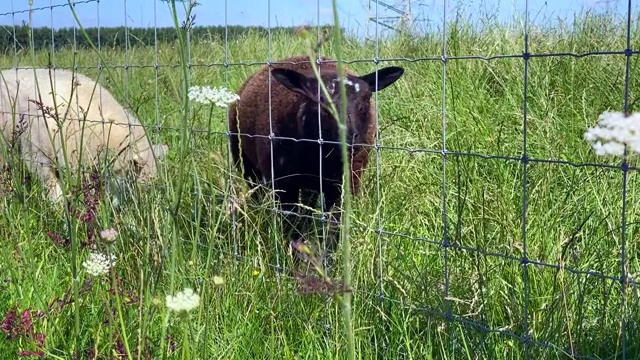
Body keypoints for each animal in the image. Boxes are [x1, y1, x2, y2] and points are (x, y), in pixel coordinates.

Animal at [228, 54, 402, 256]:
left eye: (365, 101)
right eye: (319, 103)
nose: (347, 138)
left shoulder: (343, 185)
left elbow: (332, 228)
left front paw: (328, 260)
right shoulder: (284, 184)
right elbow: (292, 227)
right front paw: (295, 259)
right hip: (245, 163)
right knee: (257, 195)